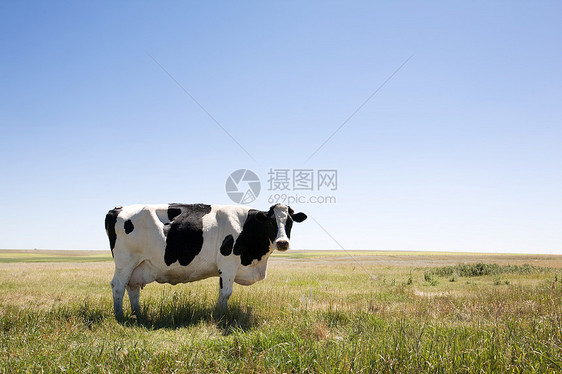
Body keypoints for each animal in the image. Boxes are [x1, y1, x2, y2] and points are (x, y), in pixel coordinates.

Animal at [105, 202, 306, 318]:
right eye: (271, 221)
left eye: (290, 221)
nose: (282, 243)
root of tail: (117, 209)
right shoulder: (228, 263)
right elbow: (225, 293)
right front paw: (222, 315)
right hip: (125, 261)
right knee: (118, 286)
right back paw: (120, 316)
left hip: (138, 266)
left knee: (132, 287)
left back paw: (136, 314)